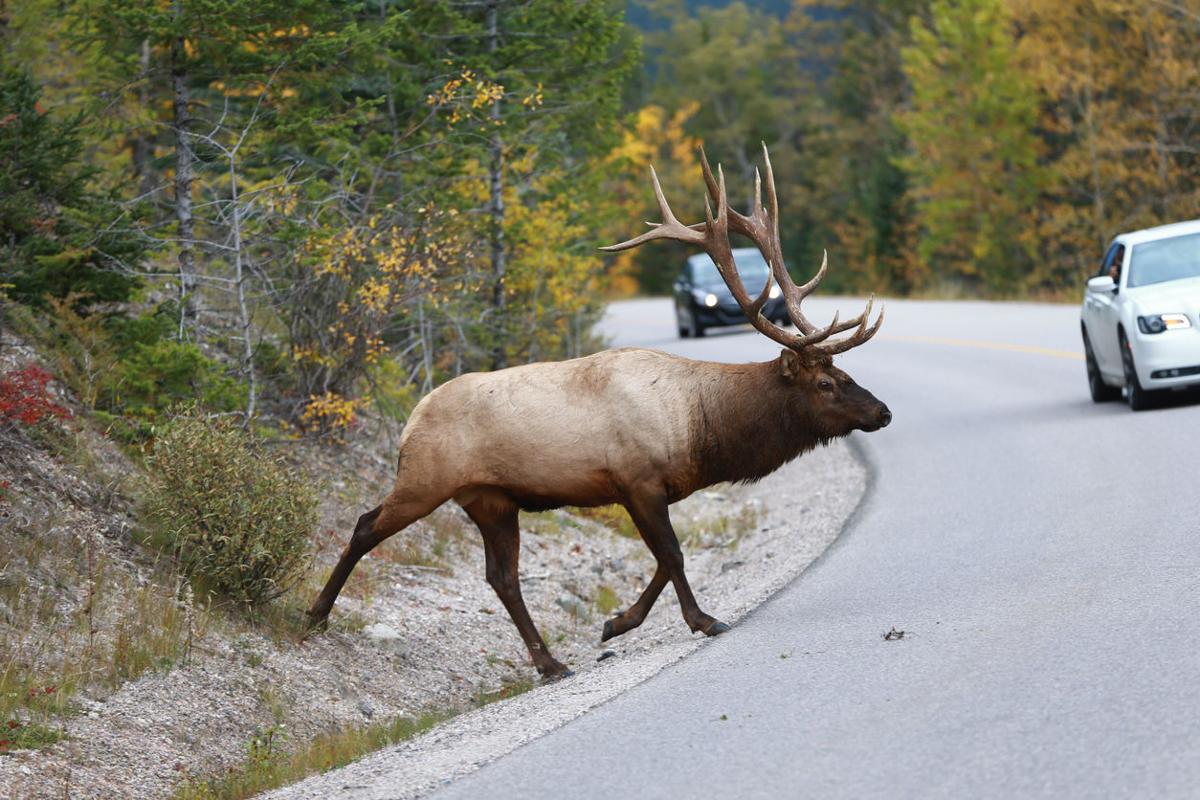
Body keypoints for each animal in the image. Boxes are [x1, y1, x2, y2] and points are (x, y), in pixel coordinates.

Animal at [306, 145, 891, 680]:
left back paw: (550, 662)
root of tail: (410, 419)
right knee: (365, 526)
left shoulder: (647, 488)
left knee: (502, 576)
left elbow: (662, 560)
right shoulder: (637, 479)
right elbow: (673, 555)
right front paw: (702, 620)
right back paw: (315, 615)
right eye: (826, 382)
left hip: (490, 499)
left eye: (843, 372)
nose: (883, 412)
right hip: (426, 480)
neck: (699, 430)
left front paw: (616, 623)